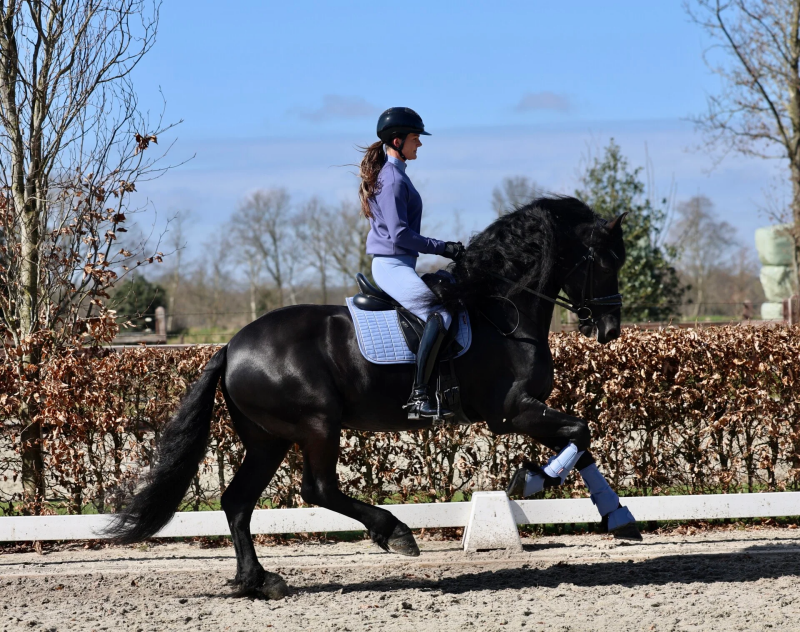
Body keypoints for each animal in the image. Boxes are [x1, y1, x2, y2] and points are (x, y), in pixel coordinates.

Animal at [107, 196, 634, 600]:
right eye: (608, 261)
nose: (609, 330)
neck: (499, 311)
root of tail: (233, 346)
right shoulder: (513, 412)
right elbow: (581, 431)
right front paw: (532, 481)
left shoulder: (526, 413)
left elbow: (583, 443)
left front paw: (619, 517)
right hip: (317, 425)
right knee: (317, 489)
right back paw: (394, 532)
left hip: (267, 439)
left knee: (238, 501)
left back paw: (258, 581)